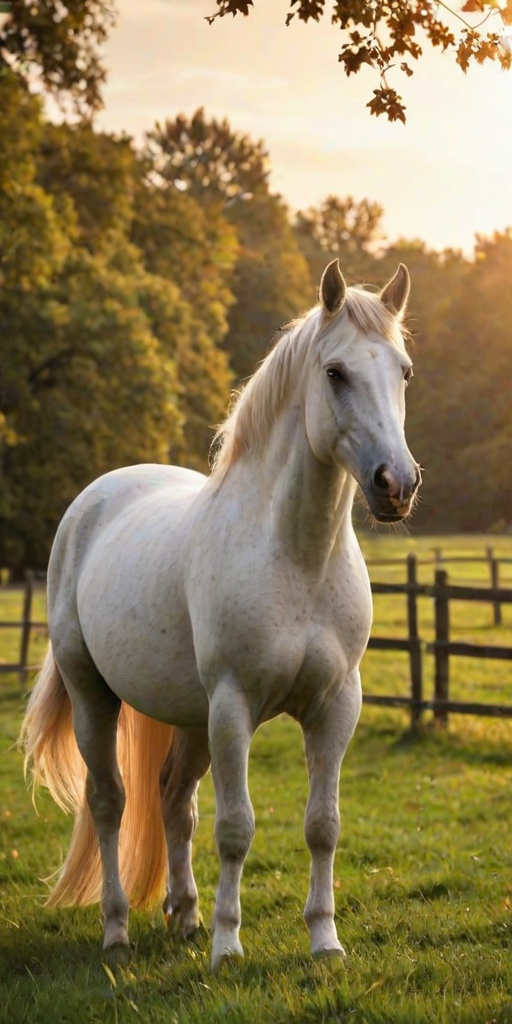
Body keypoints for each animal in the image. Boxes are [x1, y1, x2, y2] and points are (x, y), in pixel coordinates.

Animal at [20, 259, 421, 969]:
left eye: (402, 371)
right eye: (335, 372)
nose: (395, 485)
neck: (294, 556)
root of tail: (95, 499)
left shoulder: (335, 706)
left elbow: (323, 826)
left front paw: (324, 940)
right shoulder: (234, 706)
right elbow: (236, 828)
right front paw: (228, 946)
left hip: (189, 716)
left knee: (173, 799)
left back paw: (183, 916)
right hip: (95, 695)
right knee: (110, 802)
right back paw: (118, 929)